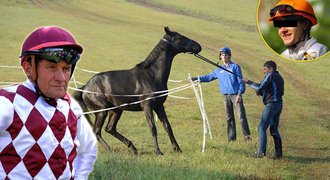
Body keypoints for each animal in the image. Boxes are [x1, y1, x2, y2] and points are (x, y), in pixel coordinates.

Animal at [72, 26, 201, 155]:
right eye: (179, 37)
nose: (198, 46)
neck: (152, 75)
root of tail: (85, 88)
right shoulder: (147, 106)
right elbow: (153, 128)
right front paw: (157, 151)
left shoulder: (159, 106)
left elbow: (167, 126)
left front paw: (177, 148)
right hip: (102, 111)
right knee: (97, 131)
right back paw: (110, 149)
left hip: (116, 110)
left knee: (110, 128)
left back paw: (132, 148)